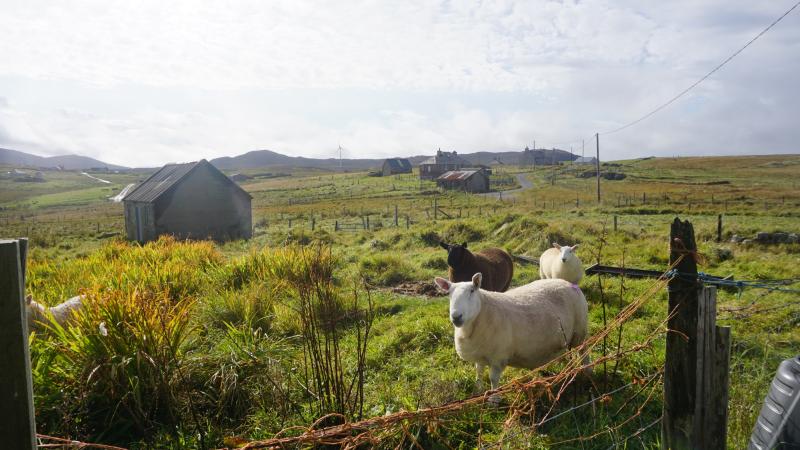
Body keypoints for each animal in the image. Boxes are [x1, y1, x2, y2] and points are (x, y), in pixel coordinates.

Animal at [434, 272, 592, 402]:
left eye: (472, 291)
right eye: (449, 294)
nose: (456, 317)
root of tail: (568, 282)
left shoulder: (498, 357)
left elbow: (493, 379)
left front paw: (493, 400)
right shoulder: (480, 354)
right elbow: (478, 373)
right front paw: (477, 392)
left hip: (580, 332)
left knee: (583, 352)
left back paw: (587, 372)